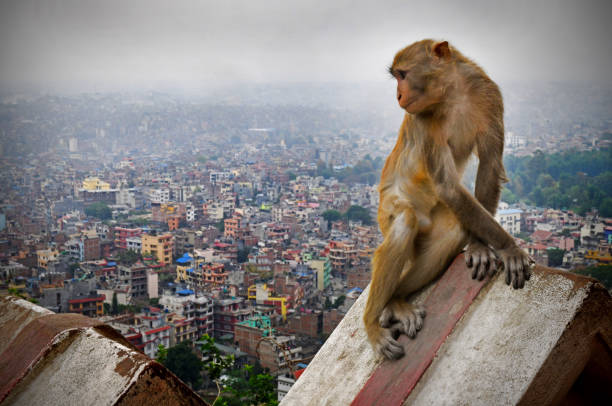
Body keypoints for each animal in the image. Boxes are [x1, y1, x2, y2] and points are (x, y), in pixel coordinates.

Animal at [366, 39, 532, 360]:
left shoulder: (489, 94)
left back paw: (397, 299)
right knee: (403, 222)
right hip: (387, 209)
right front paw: (509, 247)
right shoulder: (424, 119)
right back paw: (373, 325)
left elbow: (489, 166)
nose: (398, 95)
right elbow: (448, 186)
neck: (453, 94)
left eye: (402, 75)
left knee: (452, 230)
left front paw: (480, 246)